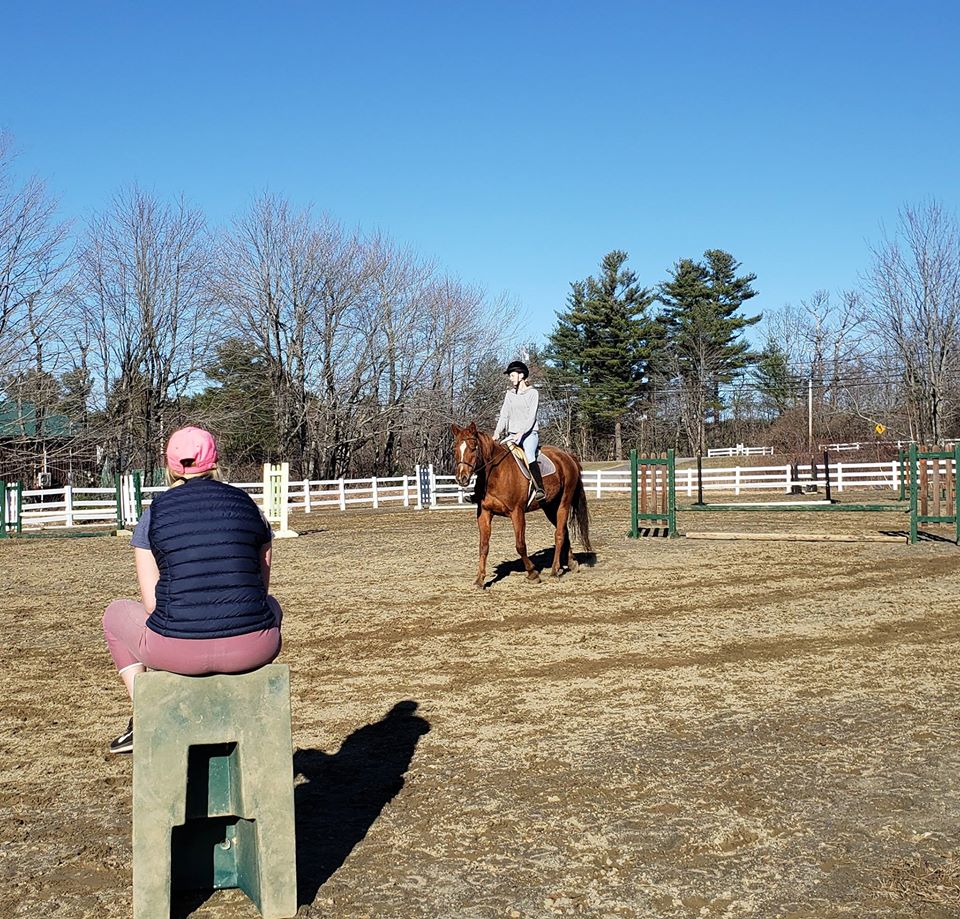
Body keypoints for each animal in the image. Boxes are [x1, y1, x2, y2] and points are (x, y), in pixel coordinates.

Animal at [452, 424, 592, 588]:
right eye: (455, 448)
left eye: (473, 447)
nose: (462, 478)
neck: (495, 473)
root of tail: (568, 456)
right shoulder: (484, 513)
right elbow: (483, 546)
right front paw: (480, 579)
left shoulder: (516, 512)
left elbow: (520, 545)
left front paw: (532, 573)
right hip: (550, 507)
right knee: (564, 531)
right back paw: (572, 563)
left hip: (563, 503)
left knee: (559, 534)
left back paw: (554, 571)